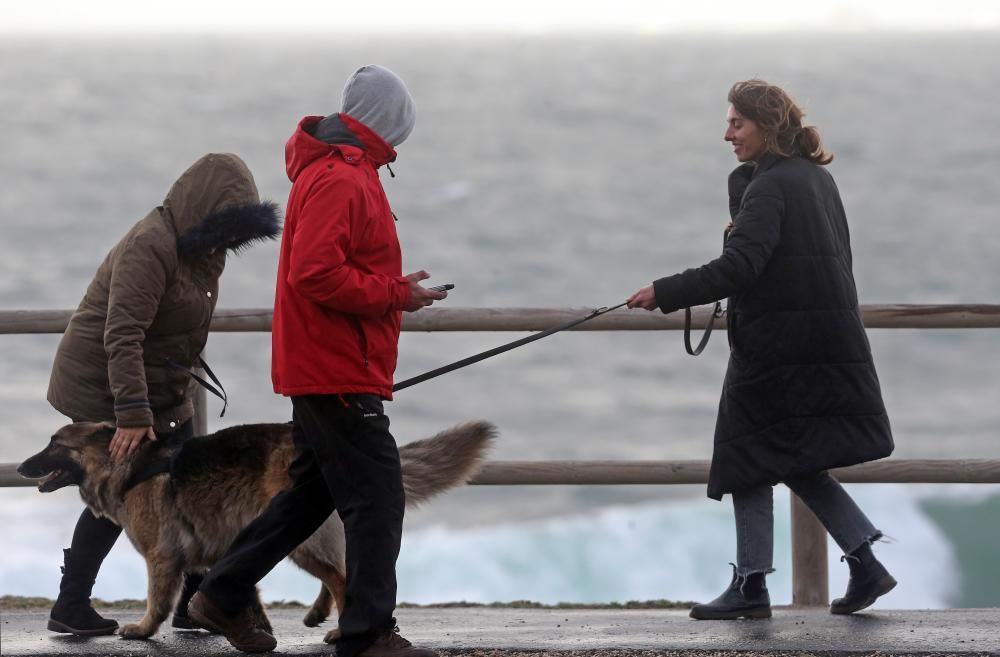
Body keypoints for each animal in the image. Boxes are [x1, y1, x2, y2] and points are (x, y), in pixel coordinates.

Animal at [17, 420, 494, 640]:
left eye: (54, 444)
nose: (21, 466)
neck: (126, 464)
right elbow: (244, 590)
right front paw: (250, 627)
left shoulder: (162, 557)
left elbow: (157, 600)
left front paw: (145, 630)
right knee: (337, 570)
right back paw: (319, 614)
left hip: (299, 537)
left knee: (342, 578)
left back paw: (344, 629)